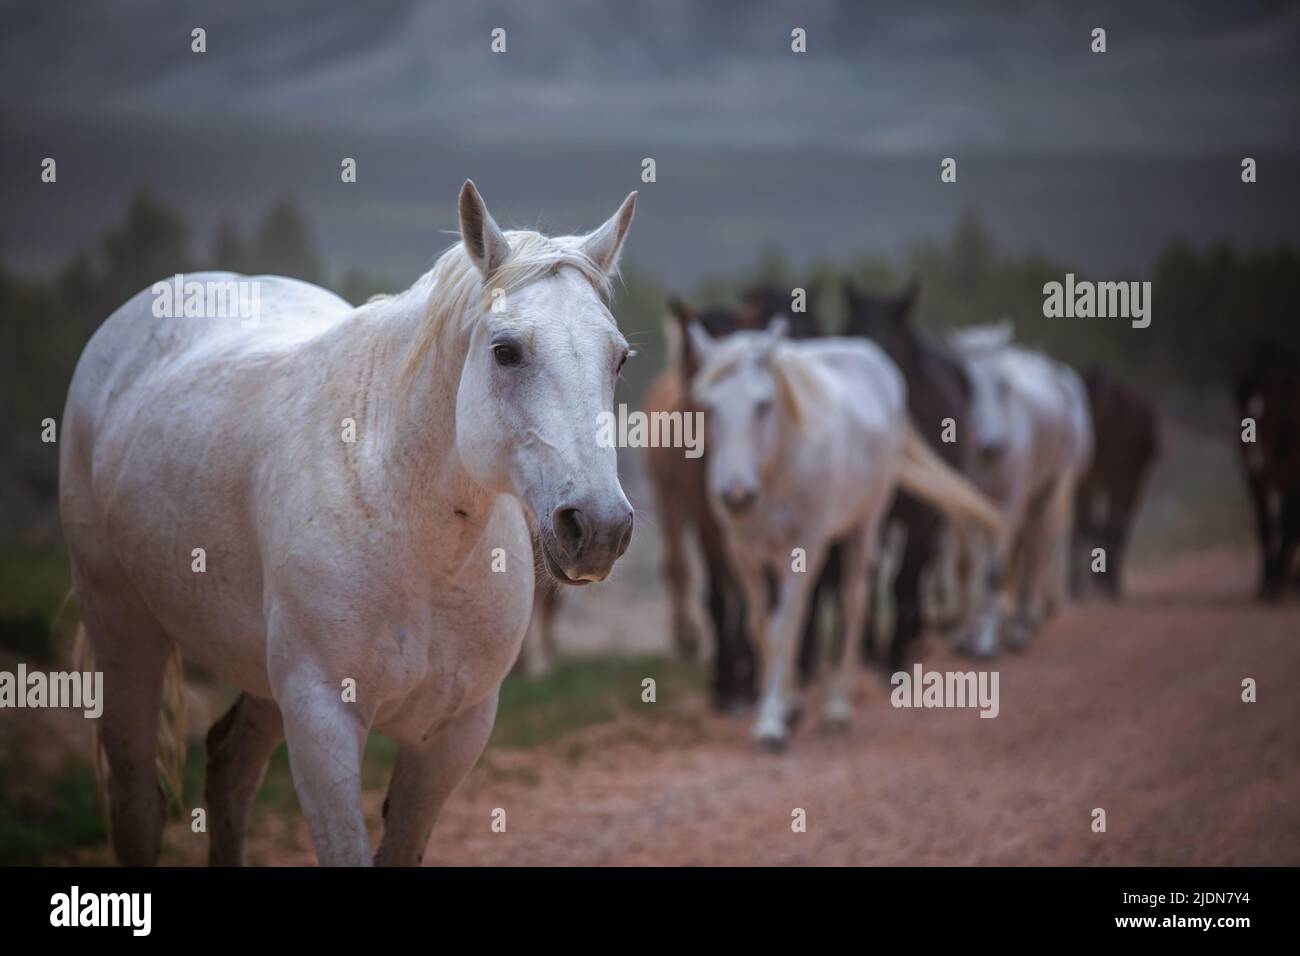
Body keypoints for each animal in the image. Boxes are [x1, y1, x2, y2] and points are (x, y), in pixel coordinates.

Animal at [59, 180, 638, 866]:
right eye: (506, 352)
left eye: (619, 359)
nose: (599, 528)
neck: (417, 541)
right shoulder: (323, 721)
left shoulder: (452, 734)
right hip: (123, 625)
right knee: (138, 804)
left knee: (229, 767)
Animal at [687, 319, 1002, 750]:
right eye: (709, 407)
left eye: (763, 405)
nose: (736, 495)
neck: (777, 466)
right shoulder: (744, 553)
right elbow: (762, 628)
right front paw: (780, 708)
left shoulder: (804, 548)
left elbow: (785, 627)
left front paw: (770, 723)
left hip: (866, 525)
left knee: (853, 601)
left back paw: (838, 708)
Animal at [947, 322, 1093, 655]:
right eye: (966, 385)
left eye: (1004, 386)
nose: (992, 445)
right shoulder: (965, 501)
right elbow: (968, 565)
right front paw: (964, 637)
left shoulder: (1011, 503)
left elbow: (993, 572)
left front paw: (985, 644)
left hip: (1046, 493)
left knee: (1034, 552)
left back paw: (1021, 628)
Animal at [1072, 367, 1160, 598]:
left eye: (1105, 407)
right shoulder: (1081, 483)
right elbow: (1084, 526)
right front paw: (1074, 587)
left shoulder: (1124, 480)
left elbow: (1111, 526)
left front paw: (1106, 583)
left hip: (1133, 483)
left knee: (1118, 527)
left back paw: (1109, 581)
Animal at [1233, 339, 1300, 599]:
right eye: (1241, 412)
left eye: (1274, 412)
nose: (1256, 462)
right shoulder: (1257, 481)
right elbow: (1265, 526)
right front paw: (1266, 584)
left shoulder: (1290, 476)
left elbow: (1288, 522)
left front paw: (1277, 585)